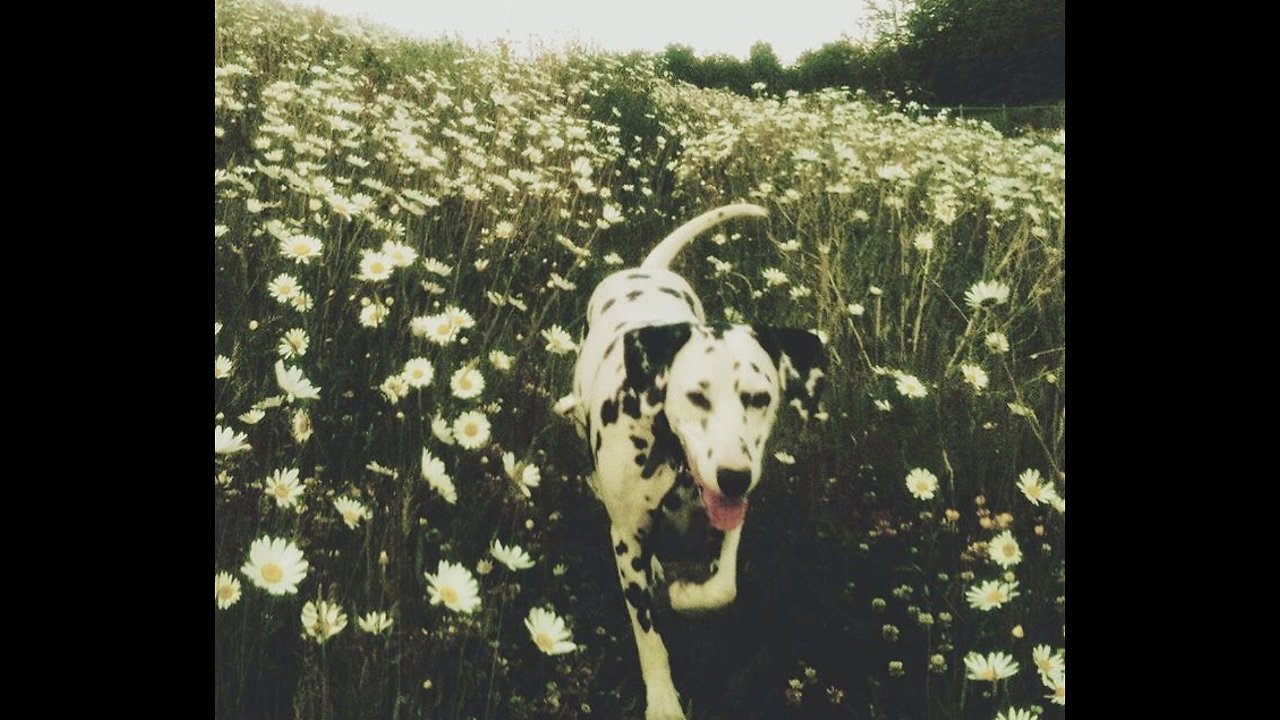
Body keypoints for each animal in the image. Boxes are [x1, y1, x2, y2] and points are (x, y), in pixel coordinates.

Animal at [560, 203, 829, 717]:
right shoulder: (626, 537)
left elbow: (723, 587)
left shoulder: (731, 518)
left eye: (758, 398)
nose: (733, 477)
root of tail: (648, 270)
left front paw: (688, 594)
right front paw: (664, 700)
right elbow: (648, 634)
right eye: (696, 397)